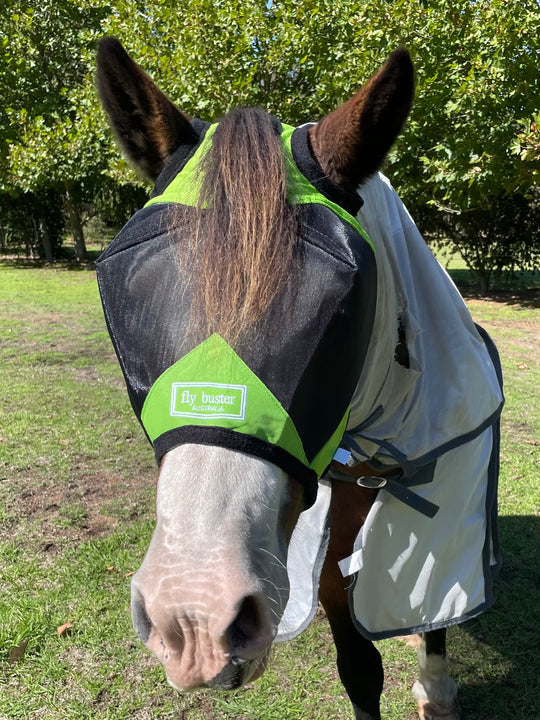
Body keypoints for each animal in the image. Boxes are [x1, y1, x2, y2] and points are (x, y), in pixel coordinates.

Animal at [96, 39, 502, 720]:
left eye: (341, 314)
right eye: (125, 295)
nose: (195, 616)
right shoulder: (326, 551)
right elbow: (360, 669)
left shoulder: (440, 516)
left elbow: (436, 613)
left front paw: (436, 688)